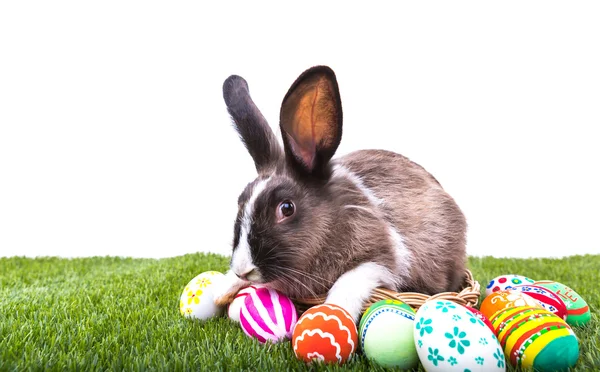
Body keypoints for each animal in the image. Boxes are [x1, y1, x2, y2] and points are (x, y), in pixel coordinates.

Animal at [212, 65, 468, 322]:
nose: (243, 270)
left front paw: (334, 310)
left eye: (286, 208)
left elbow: (350, 279)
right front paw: (221, 290)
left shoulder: (383, 257)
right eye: (240, 201)